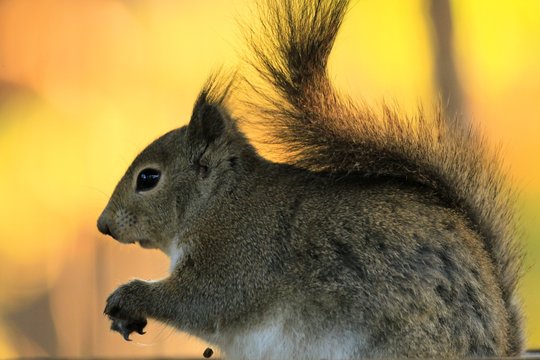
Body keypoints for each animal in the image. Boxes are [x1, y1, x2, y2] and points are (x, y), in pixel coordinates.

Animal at [96, 0, 524, 358]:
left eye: (148, 178)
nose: (103, 225)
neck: (219, 203)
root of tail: (501, 344)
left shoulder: (238, 257)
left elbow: (201, 300)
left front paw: (130, 296)